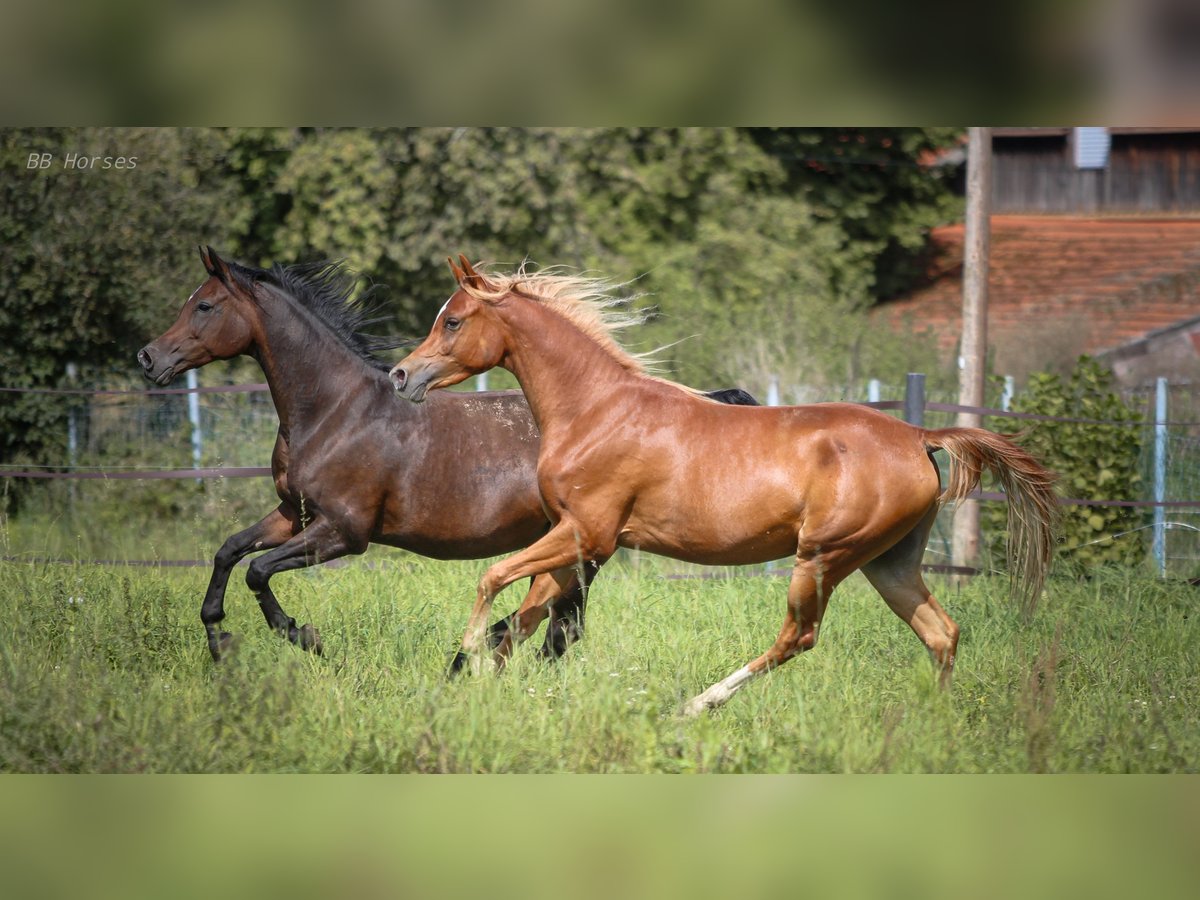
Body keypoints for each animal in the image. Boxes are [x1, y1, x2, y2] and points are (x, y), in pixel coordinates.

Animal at [138, 247, 757, 663]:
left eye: (205, 306)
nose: (148, 358)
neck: (335, 411)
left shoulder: (343, 533)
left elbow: (259, 572)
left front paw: (303, 636)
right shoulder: (294, 514)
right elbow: (229, 553)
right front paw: (218, 639)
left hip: (583, 547)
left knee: (557, 627)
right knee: (555, 625)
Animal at [389, 256, 1059, 715]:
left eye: (453, 321)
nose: (400, 375)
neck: (597, 410)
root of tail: (919, 435)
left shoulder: (590, 533)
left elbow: (493, 581)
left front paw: (470, 667)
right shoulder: (578, 543)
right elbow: (524, 620)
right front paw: (478, 684)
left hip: (823, 558)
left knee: (798, 637)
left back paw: (695, 706)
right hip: (888, 562)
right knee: (942, 633)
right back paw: (932, 721)